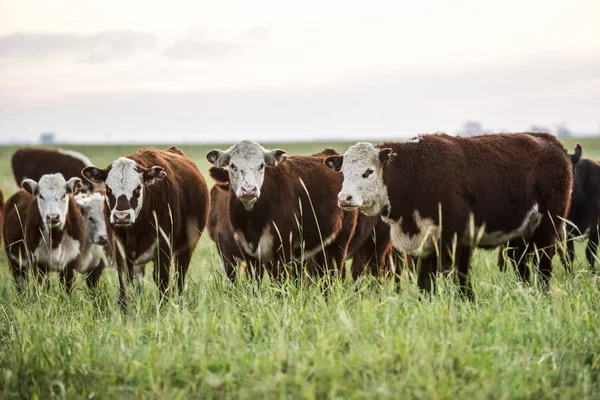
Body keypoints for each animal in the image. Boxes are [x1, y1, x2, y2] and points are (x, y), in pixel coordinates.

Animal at [82, 147, 209, 306]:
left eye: (137, 189)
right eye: (108, 189)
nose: (121, 216)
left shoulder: (164, 247)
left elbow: (162, 280)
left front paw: (163, 306)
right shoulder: (119, 249)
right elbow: (124, 281)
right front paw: (124, 307)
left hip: (186, 247)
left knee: (180, 276)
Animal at [206, 141, 356, 282]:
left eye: (261, 165)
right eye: (233, 166)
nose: (249, 190)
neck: (253, 221)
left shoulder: (283, 249)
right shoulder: (249, 253)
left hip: (340, 243)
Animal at [326, 133, 576, 298]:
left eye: (368, 172)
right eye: (343, 172)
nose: (344, 198)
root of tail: (551, 142)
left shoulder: (450, 240)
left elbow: (450, 277)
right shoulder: (423, 246)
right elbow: (426, 284)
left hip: (548, 229)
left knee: (544, 268)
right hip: (519, 238)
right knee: (522, 267)